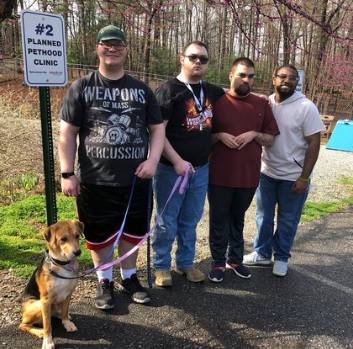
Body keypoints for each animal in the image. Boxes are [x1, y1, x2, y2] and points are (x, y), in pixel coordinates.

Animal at [19, 220, 84, 348]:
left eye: (77, 236)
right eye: (63, 239)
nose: (78, 252)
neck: (63, 264)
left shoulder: (68, 294)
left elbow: (65, 311)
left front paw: (67, 323)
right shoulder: (46, 300)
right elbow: (47, 325)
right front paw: (48, 341)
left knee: (56, 313)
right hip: (38, 305)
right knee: (23, 324)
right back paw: (39, 331)